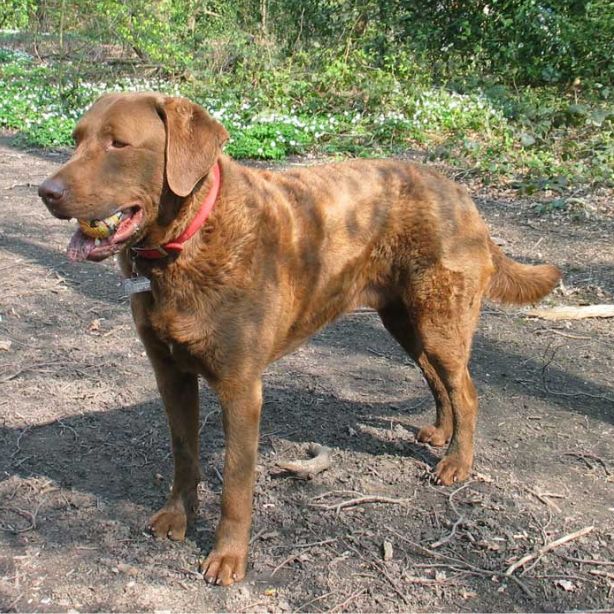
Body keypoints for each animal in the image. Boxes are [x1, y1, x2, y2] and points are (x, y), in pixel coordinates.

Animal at [41, 91, 564, 588]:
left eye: (118, 143)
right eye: (76, 138)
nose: (46, 191)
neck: (187, 243)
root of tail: (462, 195)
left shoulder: (241, 388)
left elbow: (236, 484)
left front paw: (227, 558)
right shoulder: (170, 373)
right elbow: (184, 452)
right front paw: (177, 517)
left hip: (439, 320)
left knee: (467, 390)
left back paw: (457, 463)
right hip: (405, 321)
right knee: (439, 380)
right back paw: (440, 432)